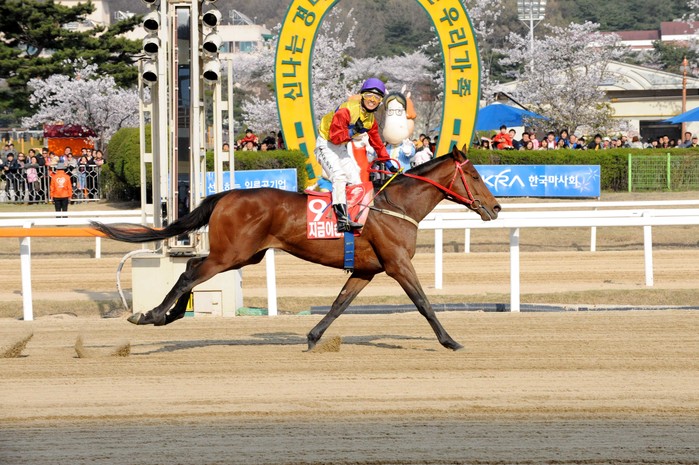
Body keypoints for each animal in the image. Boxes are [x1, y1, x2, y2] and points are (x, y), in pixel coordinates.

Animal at [92, 146, 501, 351]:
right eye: (475, 175)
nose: (496, 208)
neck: (395, 207)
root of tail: (227, 194)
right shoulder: (398, 263)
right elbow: (423, 303)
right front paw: (450, 341)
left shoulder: (366, 269)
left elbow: (339, 304)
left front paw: (313, 337)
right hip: (232, 254)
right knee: (190, 273)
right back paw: (153, 315)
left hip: (244, 254)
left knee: (191, 272)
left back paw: (168, 315)